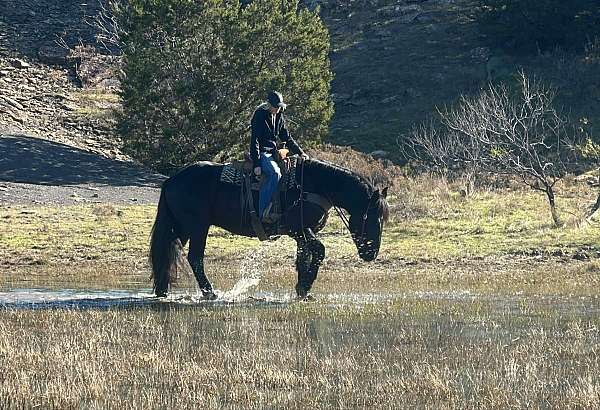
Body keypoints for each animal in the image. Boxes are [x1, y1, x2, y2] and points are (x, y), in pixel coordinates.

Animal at [150, 159, 390, 300]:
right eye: (370, 217)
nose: (371, 253)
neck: (313, 185)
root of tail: (172, 180)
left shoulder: (302, 233)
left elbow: (303, 256)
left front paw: (302, 290)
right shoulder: (297, 229)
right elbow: (319, 250)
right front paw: (305, 286)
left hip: (182, 227)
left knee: (167, 253)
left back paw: (162, 290)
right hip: (198, 226)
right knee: (195, 257)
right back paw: (210, 292)